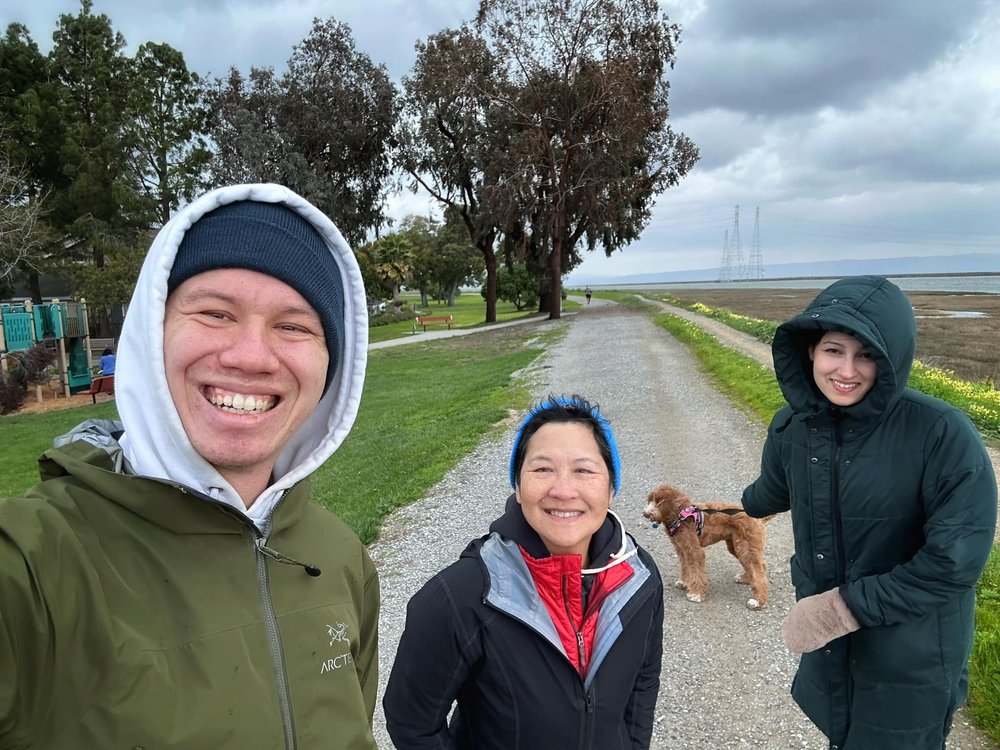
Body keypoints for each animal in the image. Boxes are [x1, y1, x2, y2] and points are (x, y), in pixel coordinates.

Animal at [640, 484, 772, 612]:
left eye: (660, 503)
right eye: (650, 500)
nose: (646, 513)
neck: (680, 516)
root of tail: (757, 518)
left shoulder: (694, 550)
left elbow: (696, 571)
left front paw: (696, 594)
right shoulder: (682, 549)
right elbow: (685, 567)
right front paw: (684, 582)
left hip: (745, 546)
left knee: (757, 571)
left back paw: (758, 601)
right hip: (736, 546)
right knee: (760, 566)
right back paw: (747, 579)